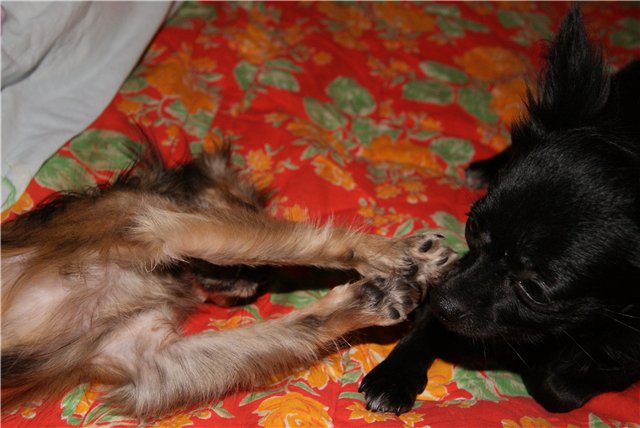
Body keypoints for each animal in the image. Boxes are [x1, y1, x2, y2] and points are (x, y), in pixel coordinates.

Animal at [359, 7, 640, 414]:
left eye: (535, 290)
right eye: (471, 227)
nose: (441, 299)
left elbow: (557, 385)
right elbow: (430, 326)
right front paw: (394, 376)